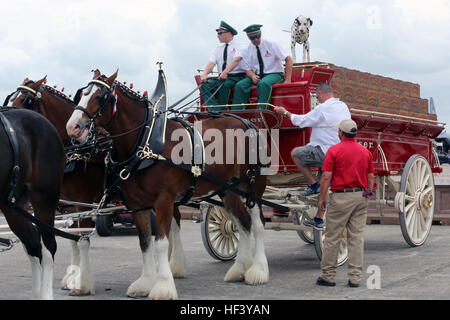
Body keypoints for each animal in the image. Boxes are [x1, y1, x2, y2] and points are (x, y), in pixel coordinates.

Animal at [65, 70, 268, 300]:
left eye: (100, 97)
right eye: (81, 94)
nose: (72, 127)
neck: (145, 144)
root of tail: (247, 123)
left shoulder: (164, 200)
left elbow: (161, 243)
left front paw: (163, 286)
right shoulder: (137, 205)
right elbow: (144, 242)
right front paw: (145, 282)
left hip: (253, 186)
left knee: (258, 224)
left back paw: (258, 270)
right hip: (227, 190)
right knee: (243, 223)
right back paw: (240, 269)